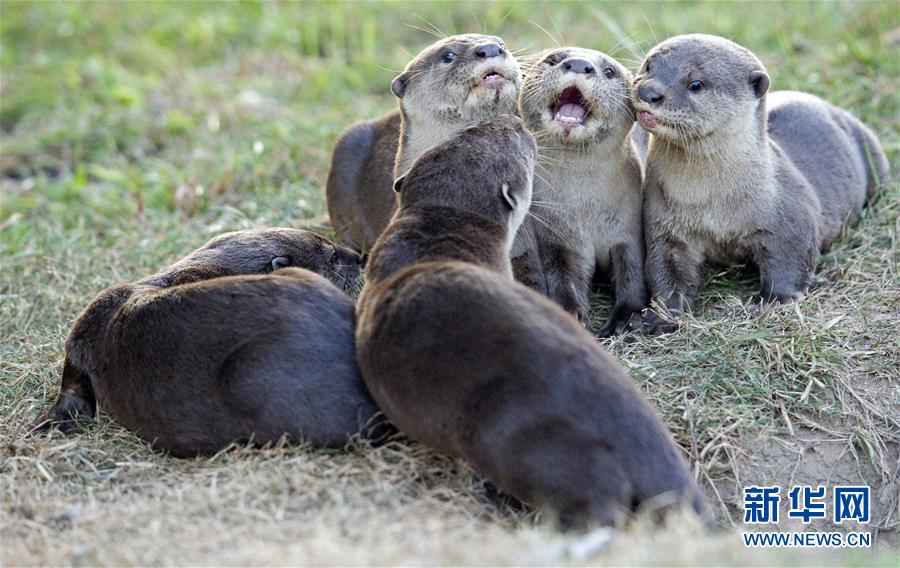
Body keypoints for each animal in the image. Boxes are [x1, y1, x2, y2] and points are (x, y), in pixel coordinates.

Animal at [512, 47, 648, 338]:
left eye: (609, 71)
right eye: (553, 59)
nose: (578, 64)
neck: (586, 208)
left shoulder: (628, 228)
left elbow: (633, 271)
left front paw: (627, 317)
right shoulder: (555, 234)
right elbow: (561, 276)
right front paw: (571, 313)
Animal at [636, 33, 888, 332]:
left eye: (696, 84)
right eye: (649, 65)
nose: (648, 92)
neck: (709, 203)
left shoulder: (791, 219)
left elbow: (790, 263)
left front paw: (770, 302)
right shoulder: (665, 227)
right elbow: (664, 271)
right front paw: (660, 318)